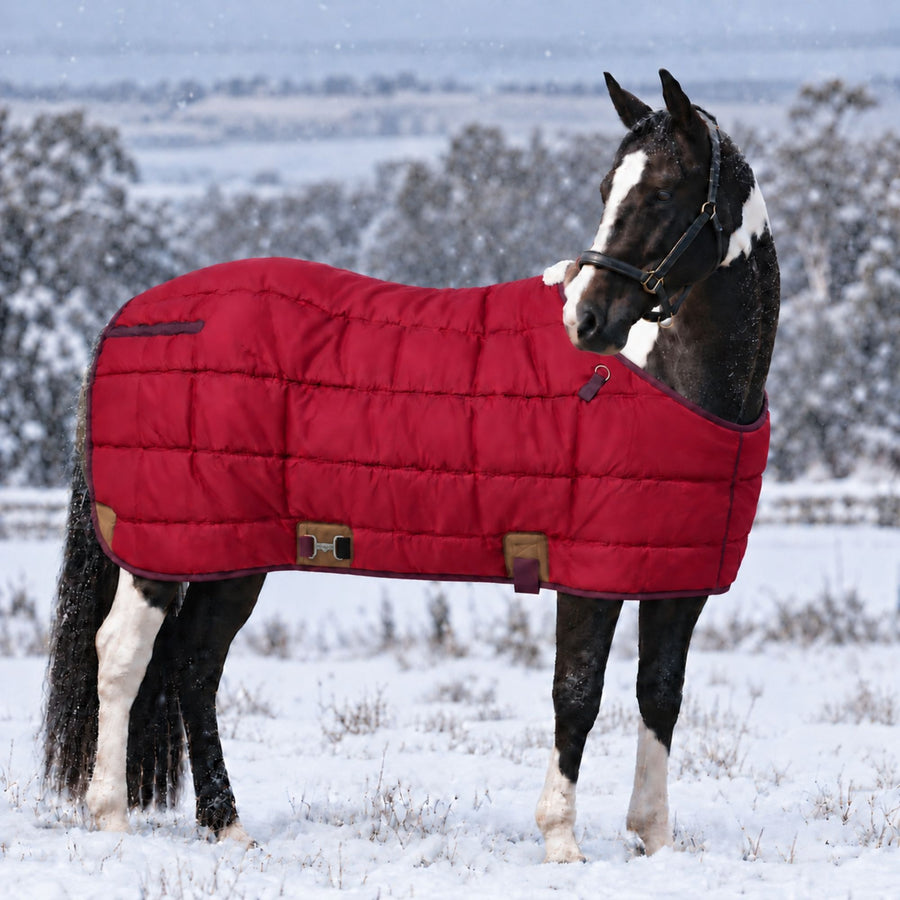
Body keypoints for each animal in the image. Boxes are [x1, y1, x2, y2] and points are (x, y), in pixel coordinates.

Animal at [42, 69, 779, 862]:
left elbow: (660, 696)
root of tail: (131, 315)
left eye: (662, 195)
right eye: (610, 189)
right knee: (123, 655)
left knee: (195, 663)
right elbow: (576, 694)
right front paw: (562, 843)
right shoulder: (591, 574)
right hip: (165, 547)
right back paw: (112, 819)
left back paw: (226, 825)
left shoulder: (677, 579)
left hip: (232, 553)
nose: (583, 322)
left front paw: (654, 838)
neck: (667, 379)